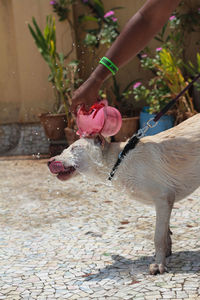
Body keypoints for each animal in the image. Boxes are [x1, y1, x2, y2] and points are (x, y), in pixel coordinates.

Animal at [48, 114, 200, 274]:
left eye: (74, 148)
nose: (49, 162)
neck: (119, 160)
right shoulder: (164, 203)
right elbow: (165, 232)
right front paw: (166, 253)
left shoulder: (164, 198)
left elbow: (158, 236)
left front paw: (159, 264)